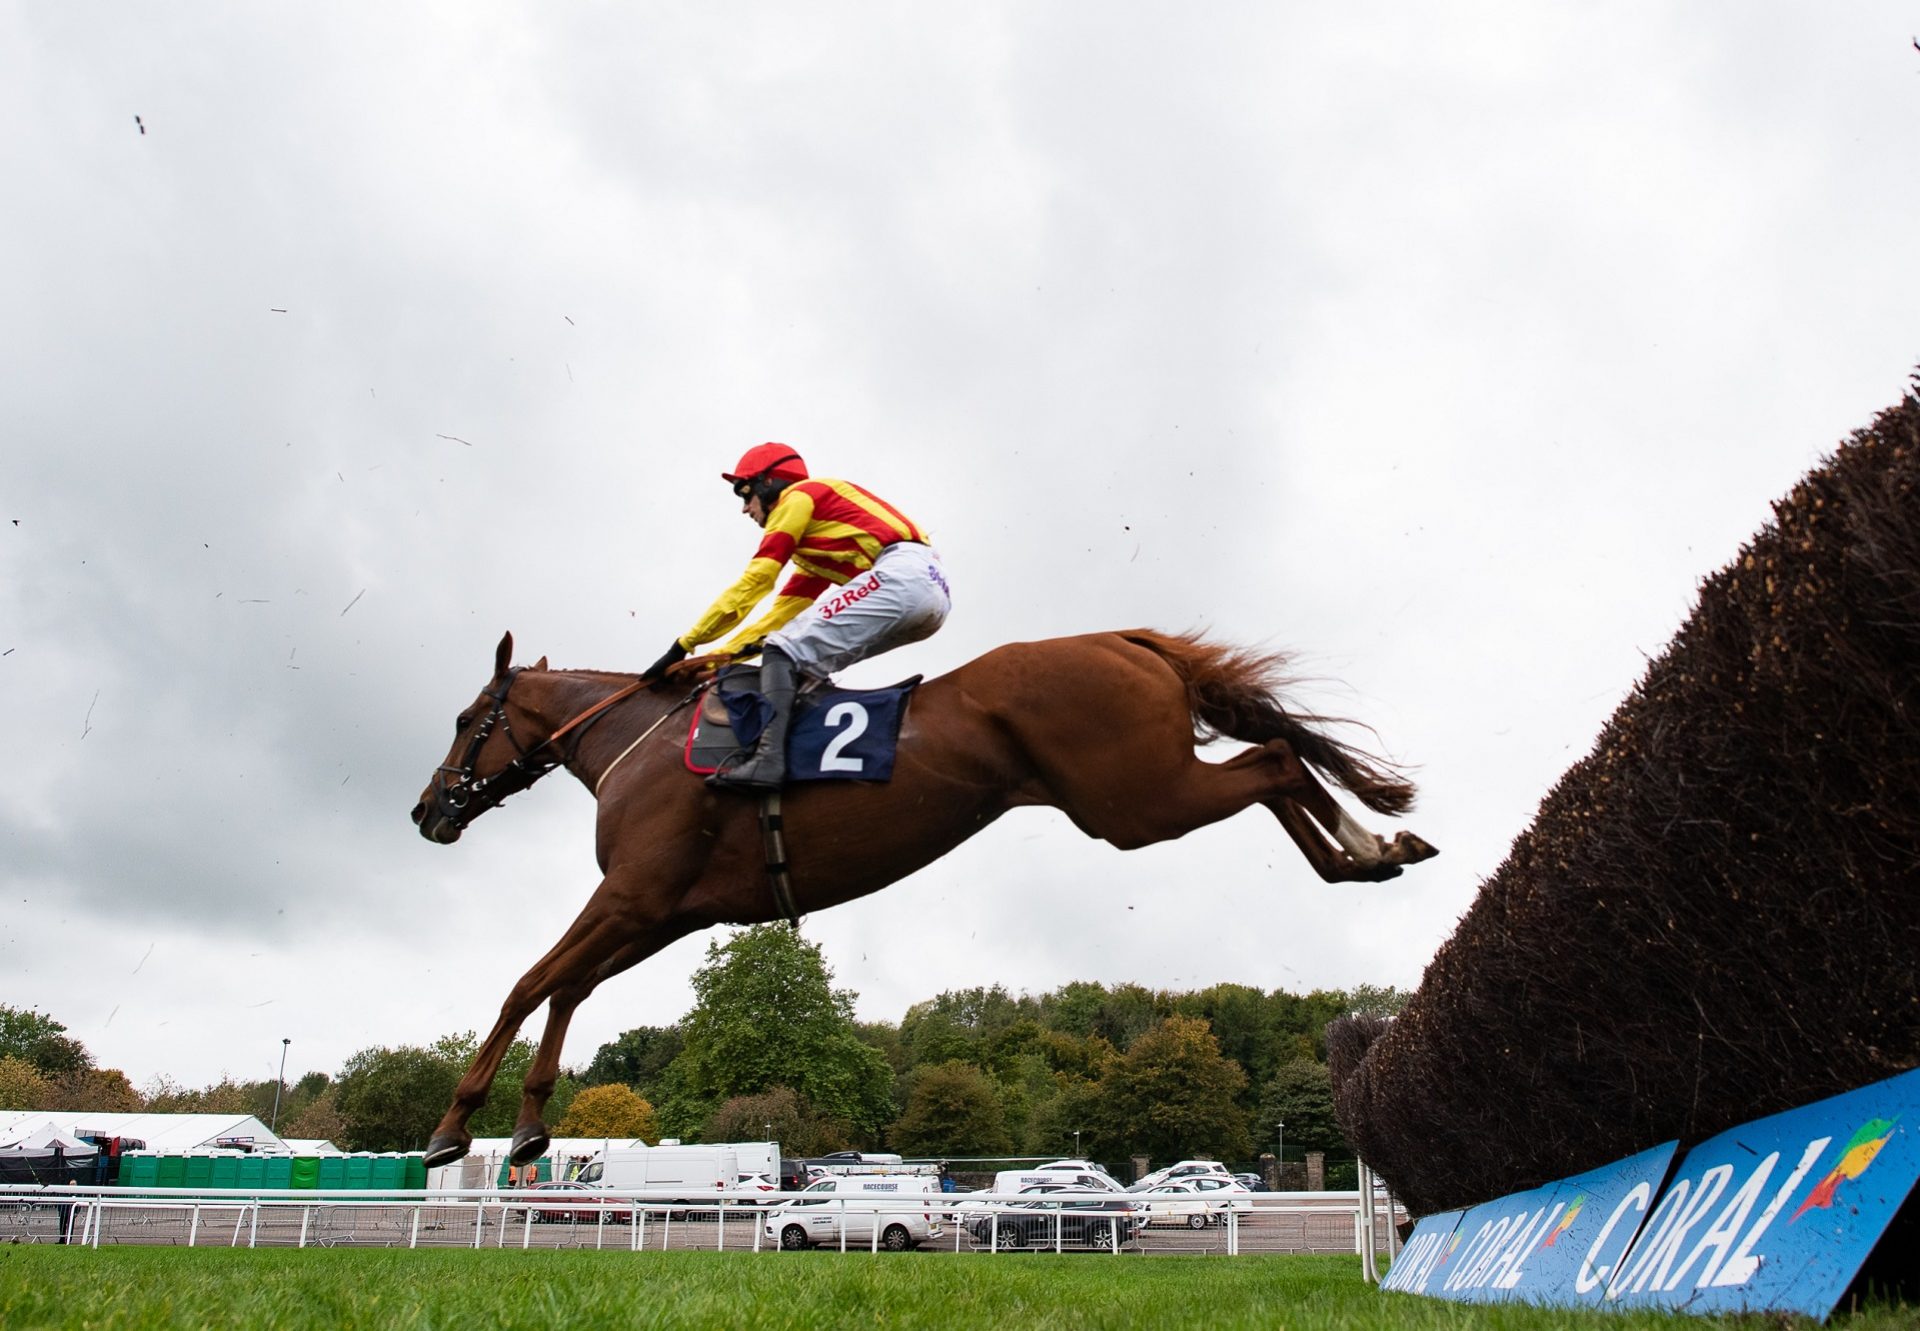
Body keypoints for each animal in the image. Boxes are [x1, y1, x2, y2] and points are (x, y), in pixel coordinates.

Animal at [412, 622, 1436, 1160]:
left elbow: (526, 983)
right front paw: (530, 1124)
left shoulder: (632, 896)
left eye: (465, 719)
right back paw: (1370, 850)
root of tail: (1122, 637)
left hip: (1137, 799)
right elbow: (568, 988)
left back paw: (1365, 844)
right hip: (1143, 792)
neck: (646, 744)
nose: (428, 810)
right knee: (1277, 761)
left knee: (1274, 758)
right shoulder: (666, 910)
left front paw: (455, 1123)